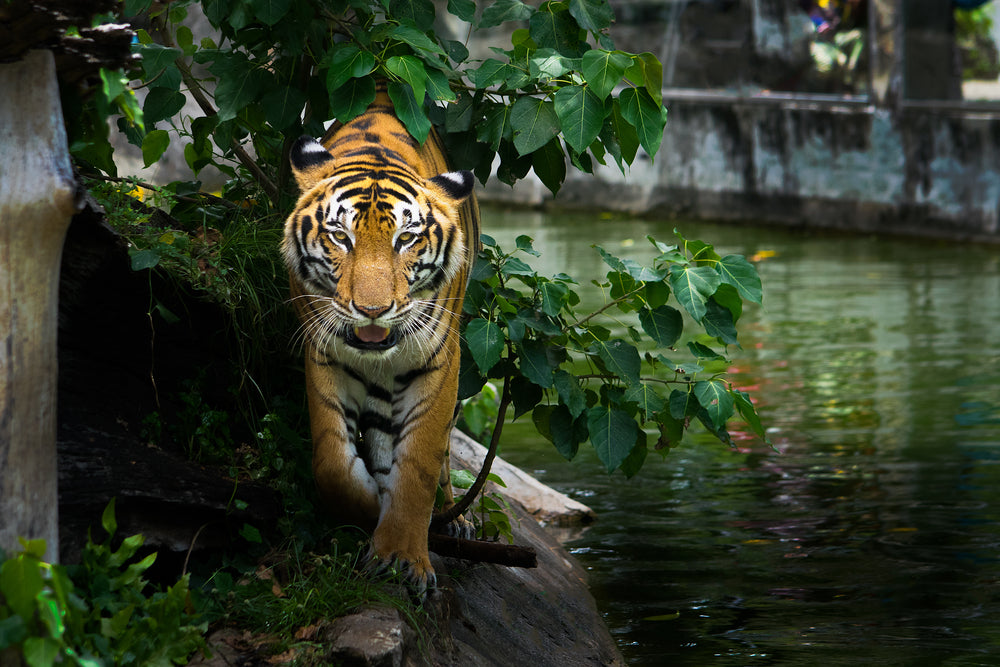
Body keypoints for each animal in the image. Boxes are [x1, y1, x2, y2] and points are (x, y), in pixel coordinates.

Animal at [284, 83, 482, 596]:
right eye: (340, 236)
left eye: (406, 240)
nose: (373, 310)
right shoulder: (323, 352)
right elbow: (332, 462)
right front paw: (374, 506)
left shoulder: (439, 360)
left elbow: (420, 463)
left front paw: (402, 557)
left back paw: (453, 519)